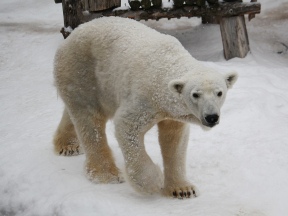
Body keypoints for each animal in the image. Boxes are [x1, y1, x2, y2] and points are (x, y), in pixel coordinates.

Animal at [53, 17, 237, 198]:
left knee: (75, 112)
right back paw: (107, 174)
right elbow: (127, 127)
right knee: (89, 120)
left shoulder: (171, 113)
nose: (211, 117)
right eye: (195, 94)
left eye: (219, 93)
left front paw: (183, 189)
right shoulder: (143, 98)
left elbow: (175, 140)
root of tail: (70, 36)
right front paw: (153, 182)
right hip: (81, 71)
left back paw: (68, 146)